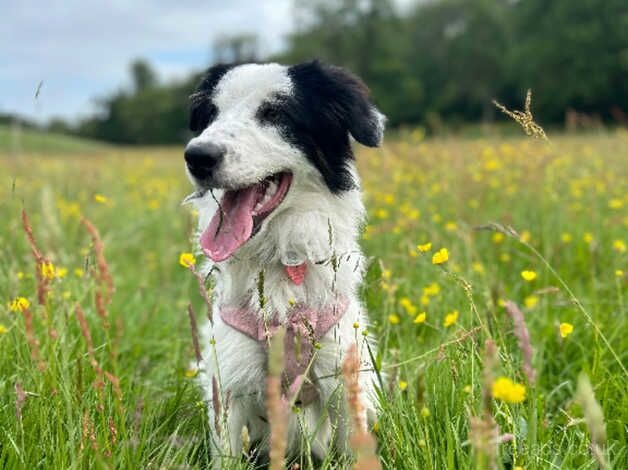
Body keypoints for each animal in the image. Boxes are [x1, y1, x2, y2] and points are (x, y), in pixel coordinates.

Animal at [184, 59, 382, 466]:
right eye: (211, 114)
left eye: (274, 114)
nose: (197, 156)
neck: (279, 262)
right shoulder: (229, 385)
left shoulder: (342, 379)